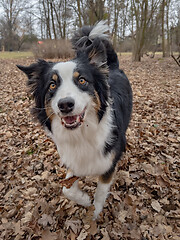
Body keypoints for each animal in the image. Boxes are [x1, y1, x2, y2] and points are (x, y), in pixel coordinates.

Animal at [17, 21, 132, 218]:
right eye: (52, 85)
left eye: (82, 80)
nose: (65, 104)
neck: (82, 133)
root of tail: (113, 67)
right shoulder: (72, 157)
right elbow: (67, 189)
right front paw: (84, 199)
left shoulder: (107, 165)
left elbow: (100, 194)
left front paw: (94, 213)